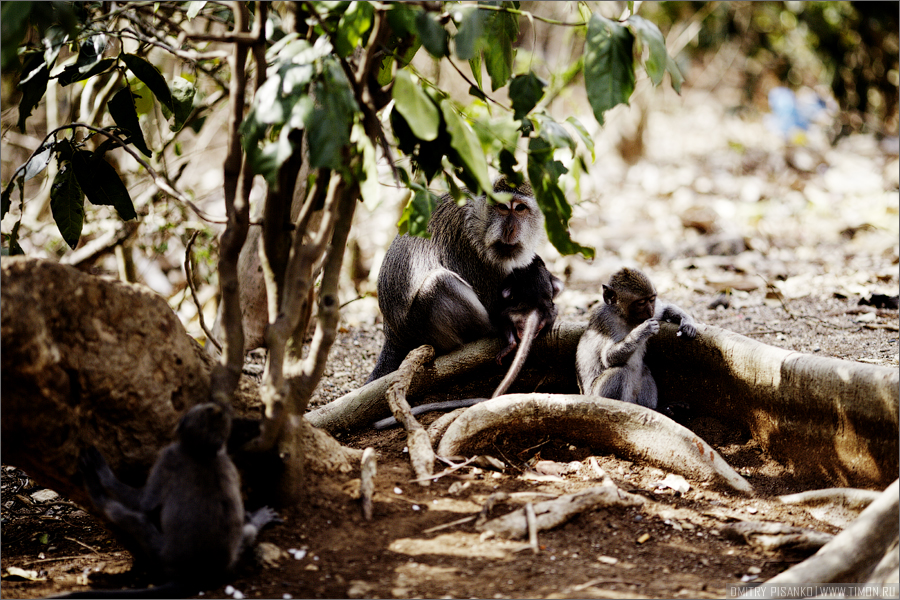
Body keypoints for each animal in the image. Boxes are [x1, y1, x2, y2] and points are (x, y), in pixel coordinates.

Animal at [576, 270, 696, 410]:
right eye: (641, 303)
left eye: (652, 300)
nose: (650, 310)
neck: (625, 316)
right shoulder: (607, 321)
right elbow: (607, 358)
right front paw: (643, 330)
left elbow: (664, 309)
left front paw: (687, 323)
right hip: (596, 394)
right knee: (619, 371)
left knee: (644, 369)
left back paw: (656, 409)